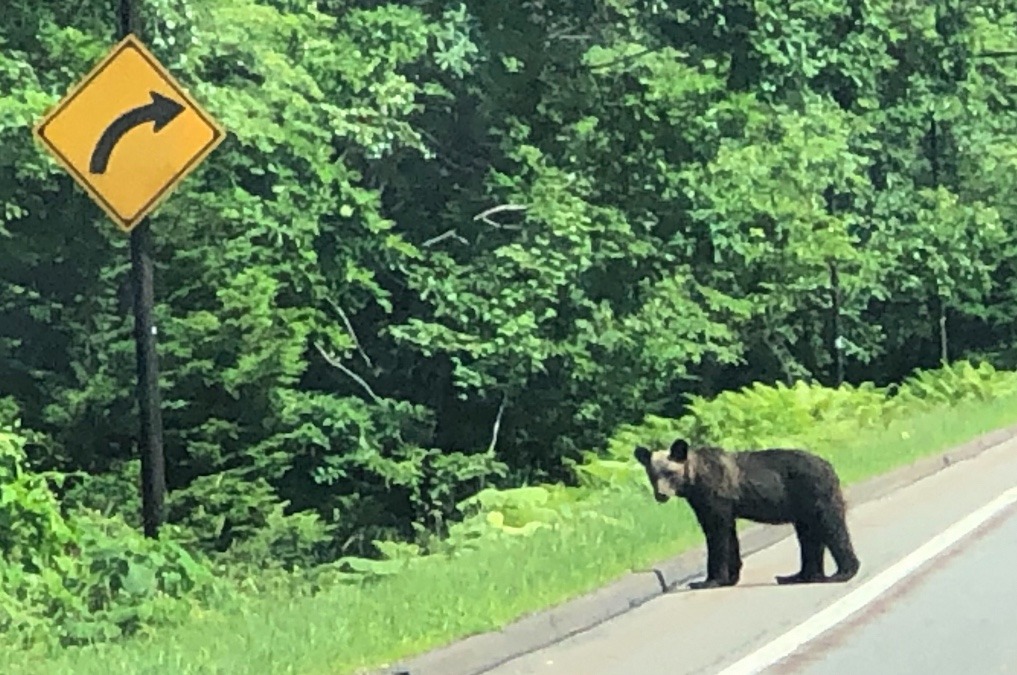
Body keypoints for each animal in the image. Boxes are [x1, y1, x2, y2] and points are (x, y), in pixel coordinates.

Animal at [634, 441, 858, 589]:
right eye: (652, 475)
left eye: (670, 473)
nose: (661, 494)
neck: (695, 480)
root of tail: (830, 466)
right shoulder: (710, 504)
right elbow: (729, 537)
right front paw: (730, 577)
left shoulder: (715, 497)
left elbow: (717, 535)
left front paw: (708, 580)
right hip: (804, 509)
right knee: (809, 536)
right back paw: (799, 576)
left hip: (816, 494)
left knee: (832, 527)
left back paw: (842, 573)